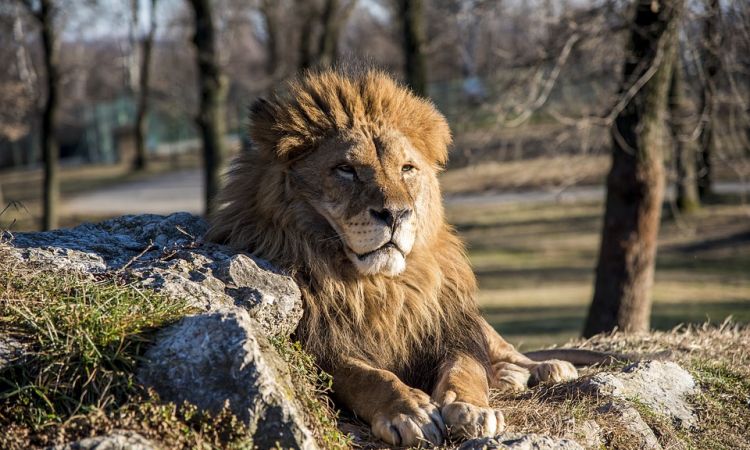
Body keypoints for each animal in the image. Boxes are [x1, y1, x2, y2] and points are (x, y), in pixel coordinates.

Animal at [209, 70, 580, 446]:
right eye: (346, 169)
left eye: (407, 168)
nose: (396, 214)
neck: (380, 286)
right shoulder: (320, 345)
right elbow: (367, 376)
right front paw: (410, 411)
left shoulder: (448, 330)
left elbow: (467, 369)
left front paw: (472, 409)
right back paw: (507, 376)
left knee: (503, 347)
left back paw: (544, 368)